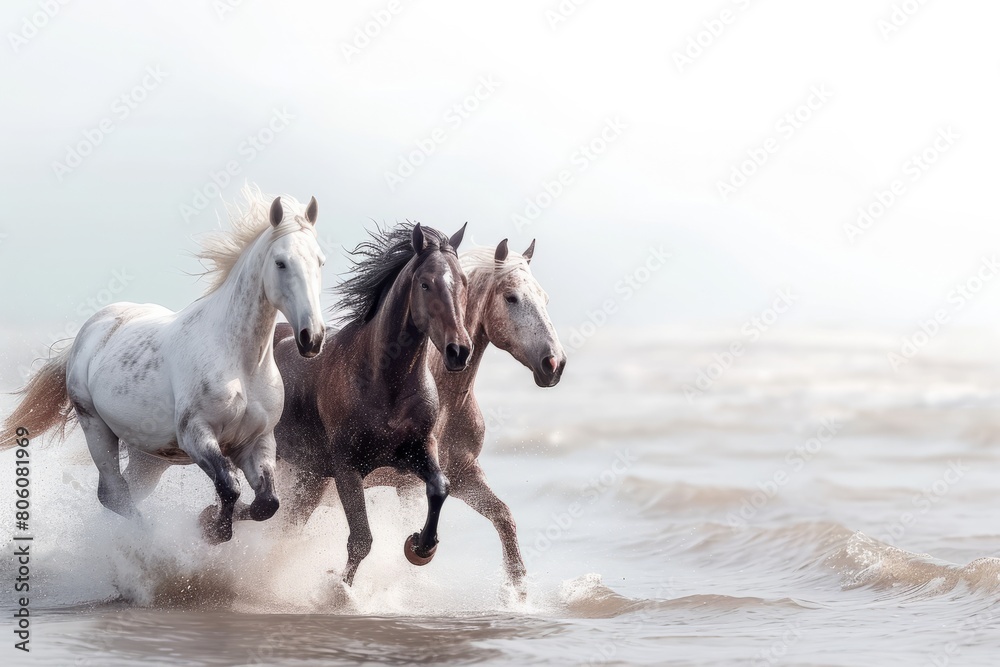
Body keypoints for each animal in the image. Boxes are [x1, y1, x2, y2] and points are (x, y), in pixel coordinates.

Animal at [1, 187, 326, 544]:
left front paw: (210, 522)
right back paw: (147, 539)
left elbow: (267, 503)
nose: (312, 338)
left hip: (148, 456)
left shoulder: (257, 441)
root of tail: (90, 329)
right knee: (114, 493)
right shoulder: (196, 435)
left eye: (320, 261)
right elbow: (229, 486)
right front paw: (213, 530)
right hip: (95, 428)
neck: (241, 363)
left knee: (122, 493)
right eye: (281, 262)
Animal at [266, 220, 468, 584]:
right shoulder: (347, 467)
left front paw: (420, 547)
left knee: (285, 523)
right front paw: (339, 590)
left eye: (464, 282)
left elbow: (439, 487)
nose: (459, 350)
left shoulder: (418, 449)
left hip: (308, 476)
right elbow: (361, 538)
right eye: (425, 283)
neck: (385, 382)